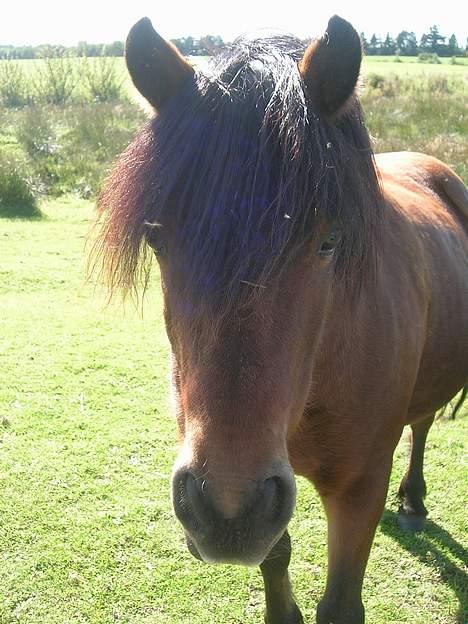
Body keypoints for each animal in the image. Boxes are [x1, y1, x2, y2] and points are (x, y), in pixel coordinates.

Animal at [94, 14, 468, 624]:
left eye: (330, 241)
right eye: (157, 238)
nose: (225, 510)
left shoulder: (359, 488)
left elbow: (340, 602)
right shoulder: (271, 487)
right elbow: (276, 553)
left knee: (422, 425)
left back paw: (412, 500)